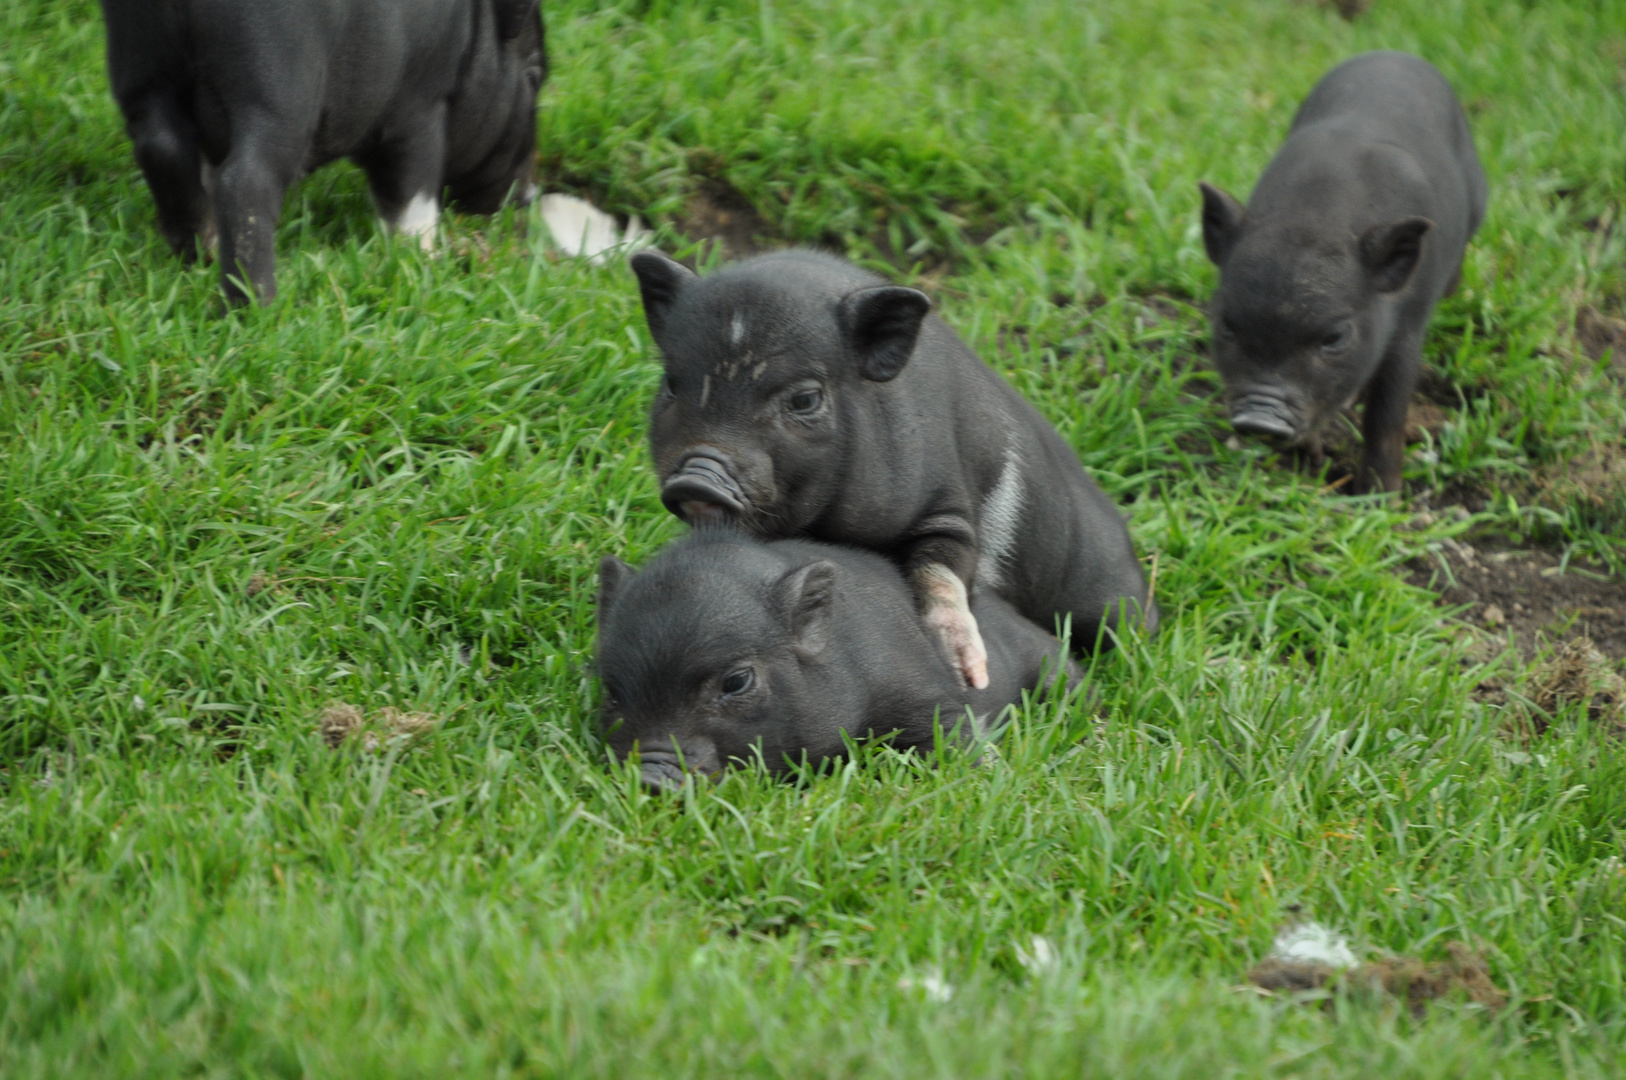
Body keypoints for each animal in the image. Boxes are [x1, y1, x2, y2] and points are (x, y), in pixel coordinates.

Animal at [98, 0, 549, 304]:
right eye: (534, 76)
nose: (530, 195)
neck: (469, 36)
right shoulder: (418, 110)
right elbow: (412, 192)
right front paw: (428, 260)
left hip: (140, 61)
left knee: (161, 147)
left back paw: (197, 257)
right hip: (278, 85)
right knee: (245, 181)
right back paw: (257, 306)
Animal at [624, 250, 1157, 692]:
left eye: (804, 399)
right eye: (671, 384)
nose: (699, 475)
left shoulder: (946, 504)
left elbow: (945, 568)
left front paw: (969, 676)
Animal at [1196, 50, 1489, 487]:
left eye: (1334, 337)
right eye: (1227, 323)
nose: (1260, 420)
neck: (1317, 216)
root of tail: (1392, 53)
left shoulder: (1409, 326)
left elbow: (1386, 414)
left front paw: (1379, 494)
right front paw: (1312, 459)